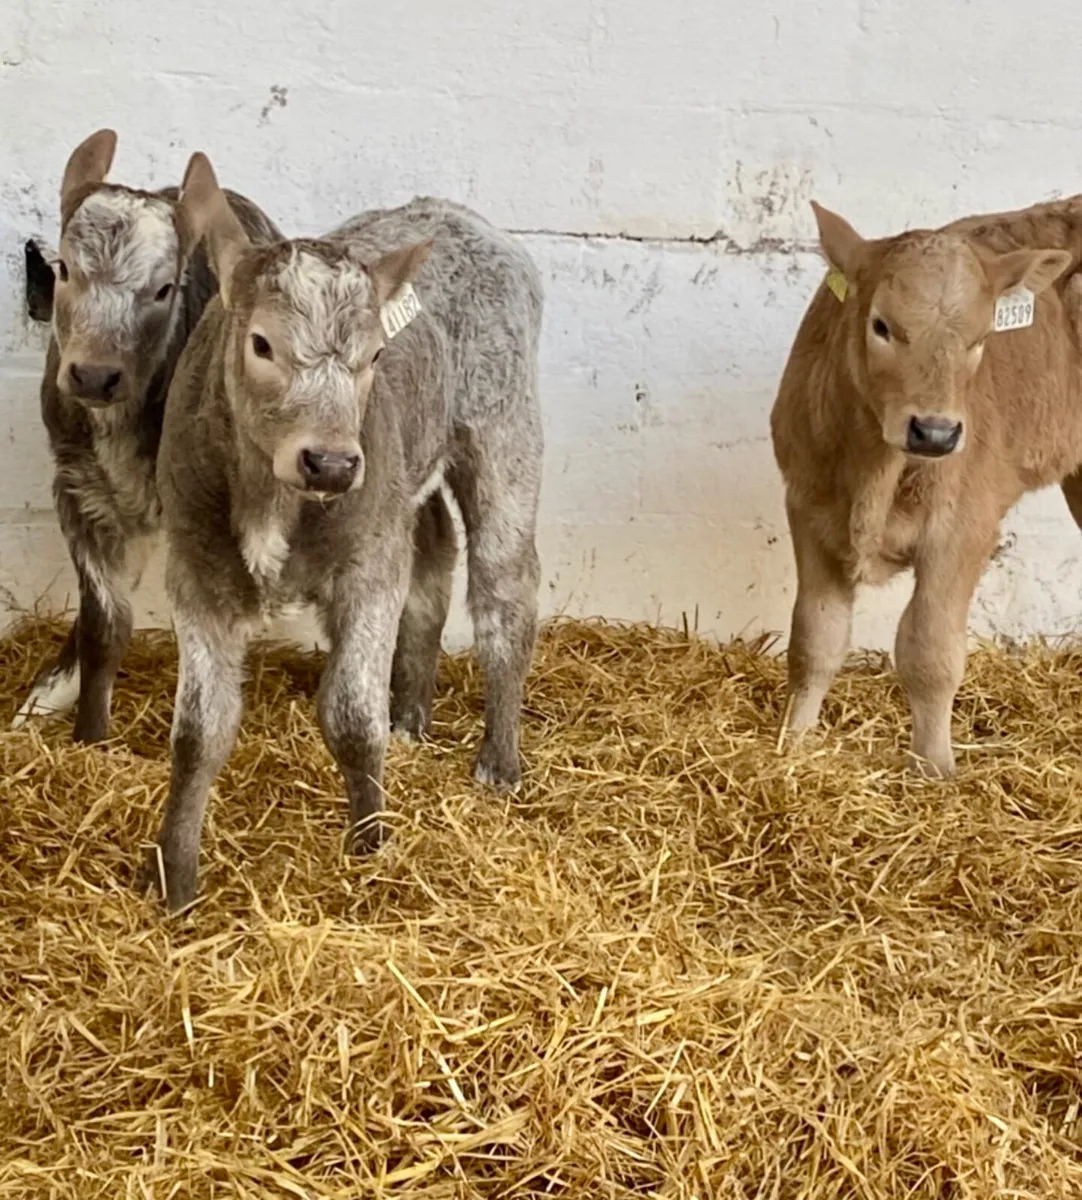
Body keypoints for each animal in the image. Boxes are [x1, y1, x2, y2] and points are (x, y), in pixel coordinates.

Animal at [11, 129, 281, 742]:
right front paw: (86, 732)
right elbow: (104, 624)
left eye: (163, 289)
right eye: (65, 270)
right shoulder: (80, 489)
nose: (93, 374)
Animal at [144, 153, 544, 911]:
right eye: (261, 343)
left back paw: (498, 761)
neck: (272, 502)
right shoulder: (194, 571)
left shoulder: (368, 568)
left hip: (505, 435)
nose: (331, 461)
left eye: (377, 355)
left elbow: (354, 719)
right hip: (407, 485)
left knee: (504, 590)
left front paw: (371, 847)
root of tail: (457, 215)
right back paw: (412, 715)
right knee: (433, 557)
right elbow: (199, 734)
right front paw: (174, 879)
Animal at [771, 195, 1082, 778]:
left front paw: (935, 767)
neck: (873, 477)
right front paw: (794, 744)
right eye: (881, 325)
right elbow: (816, 639)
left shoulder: (963, 529)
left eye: (981, 339)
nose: (935, 431)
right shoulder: (806, 507)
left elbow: (929, 651)